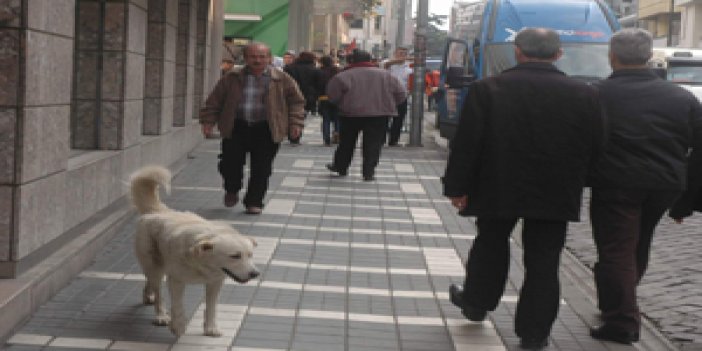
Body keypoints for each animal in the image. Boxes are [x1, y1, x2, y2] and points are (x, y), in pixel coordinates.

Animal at [131, 168, 260, 338]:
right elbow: (178, 306)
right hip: (155, 266)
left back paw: (148, 296)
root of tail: (157, 211)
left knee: (150, 282)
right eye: (235, 256)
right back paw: (161, 315)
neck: (201, 263)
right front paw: (178, 326)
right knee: (158, 292)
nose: (255, 274)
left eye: (250, 255)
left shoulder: (215, 282)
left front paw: (210, 328)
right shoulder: (176, 280)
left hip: (157, 267)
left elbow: (211, 307)